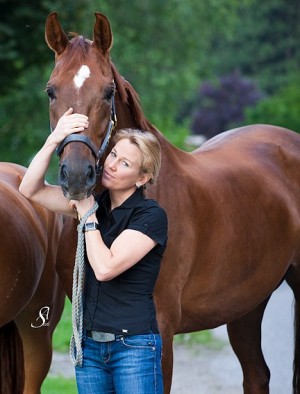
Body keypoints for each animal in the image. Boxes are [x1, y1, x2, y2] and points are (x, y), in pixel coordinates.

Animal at [44, 10, 300, 392]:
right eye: (51, 91)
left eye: (107, 92)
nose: (76, 176)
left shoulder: (160, 331)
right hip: (248, 302)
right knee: (256, 374)